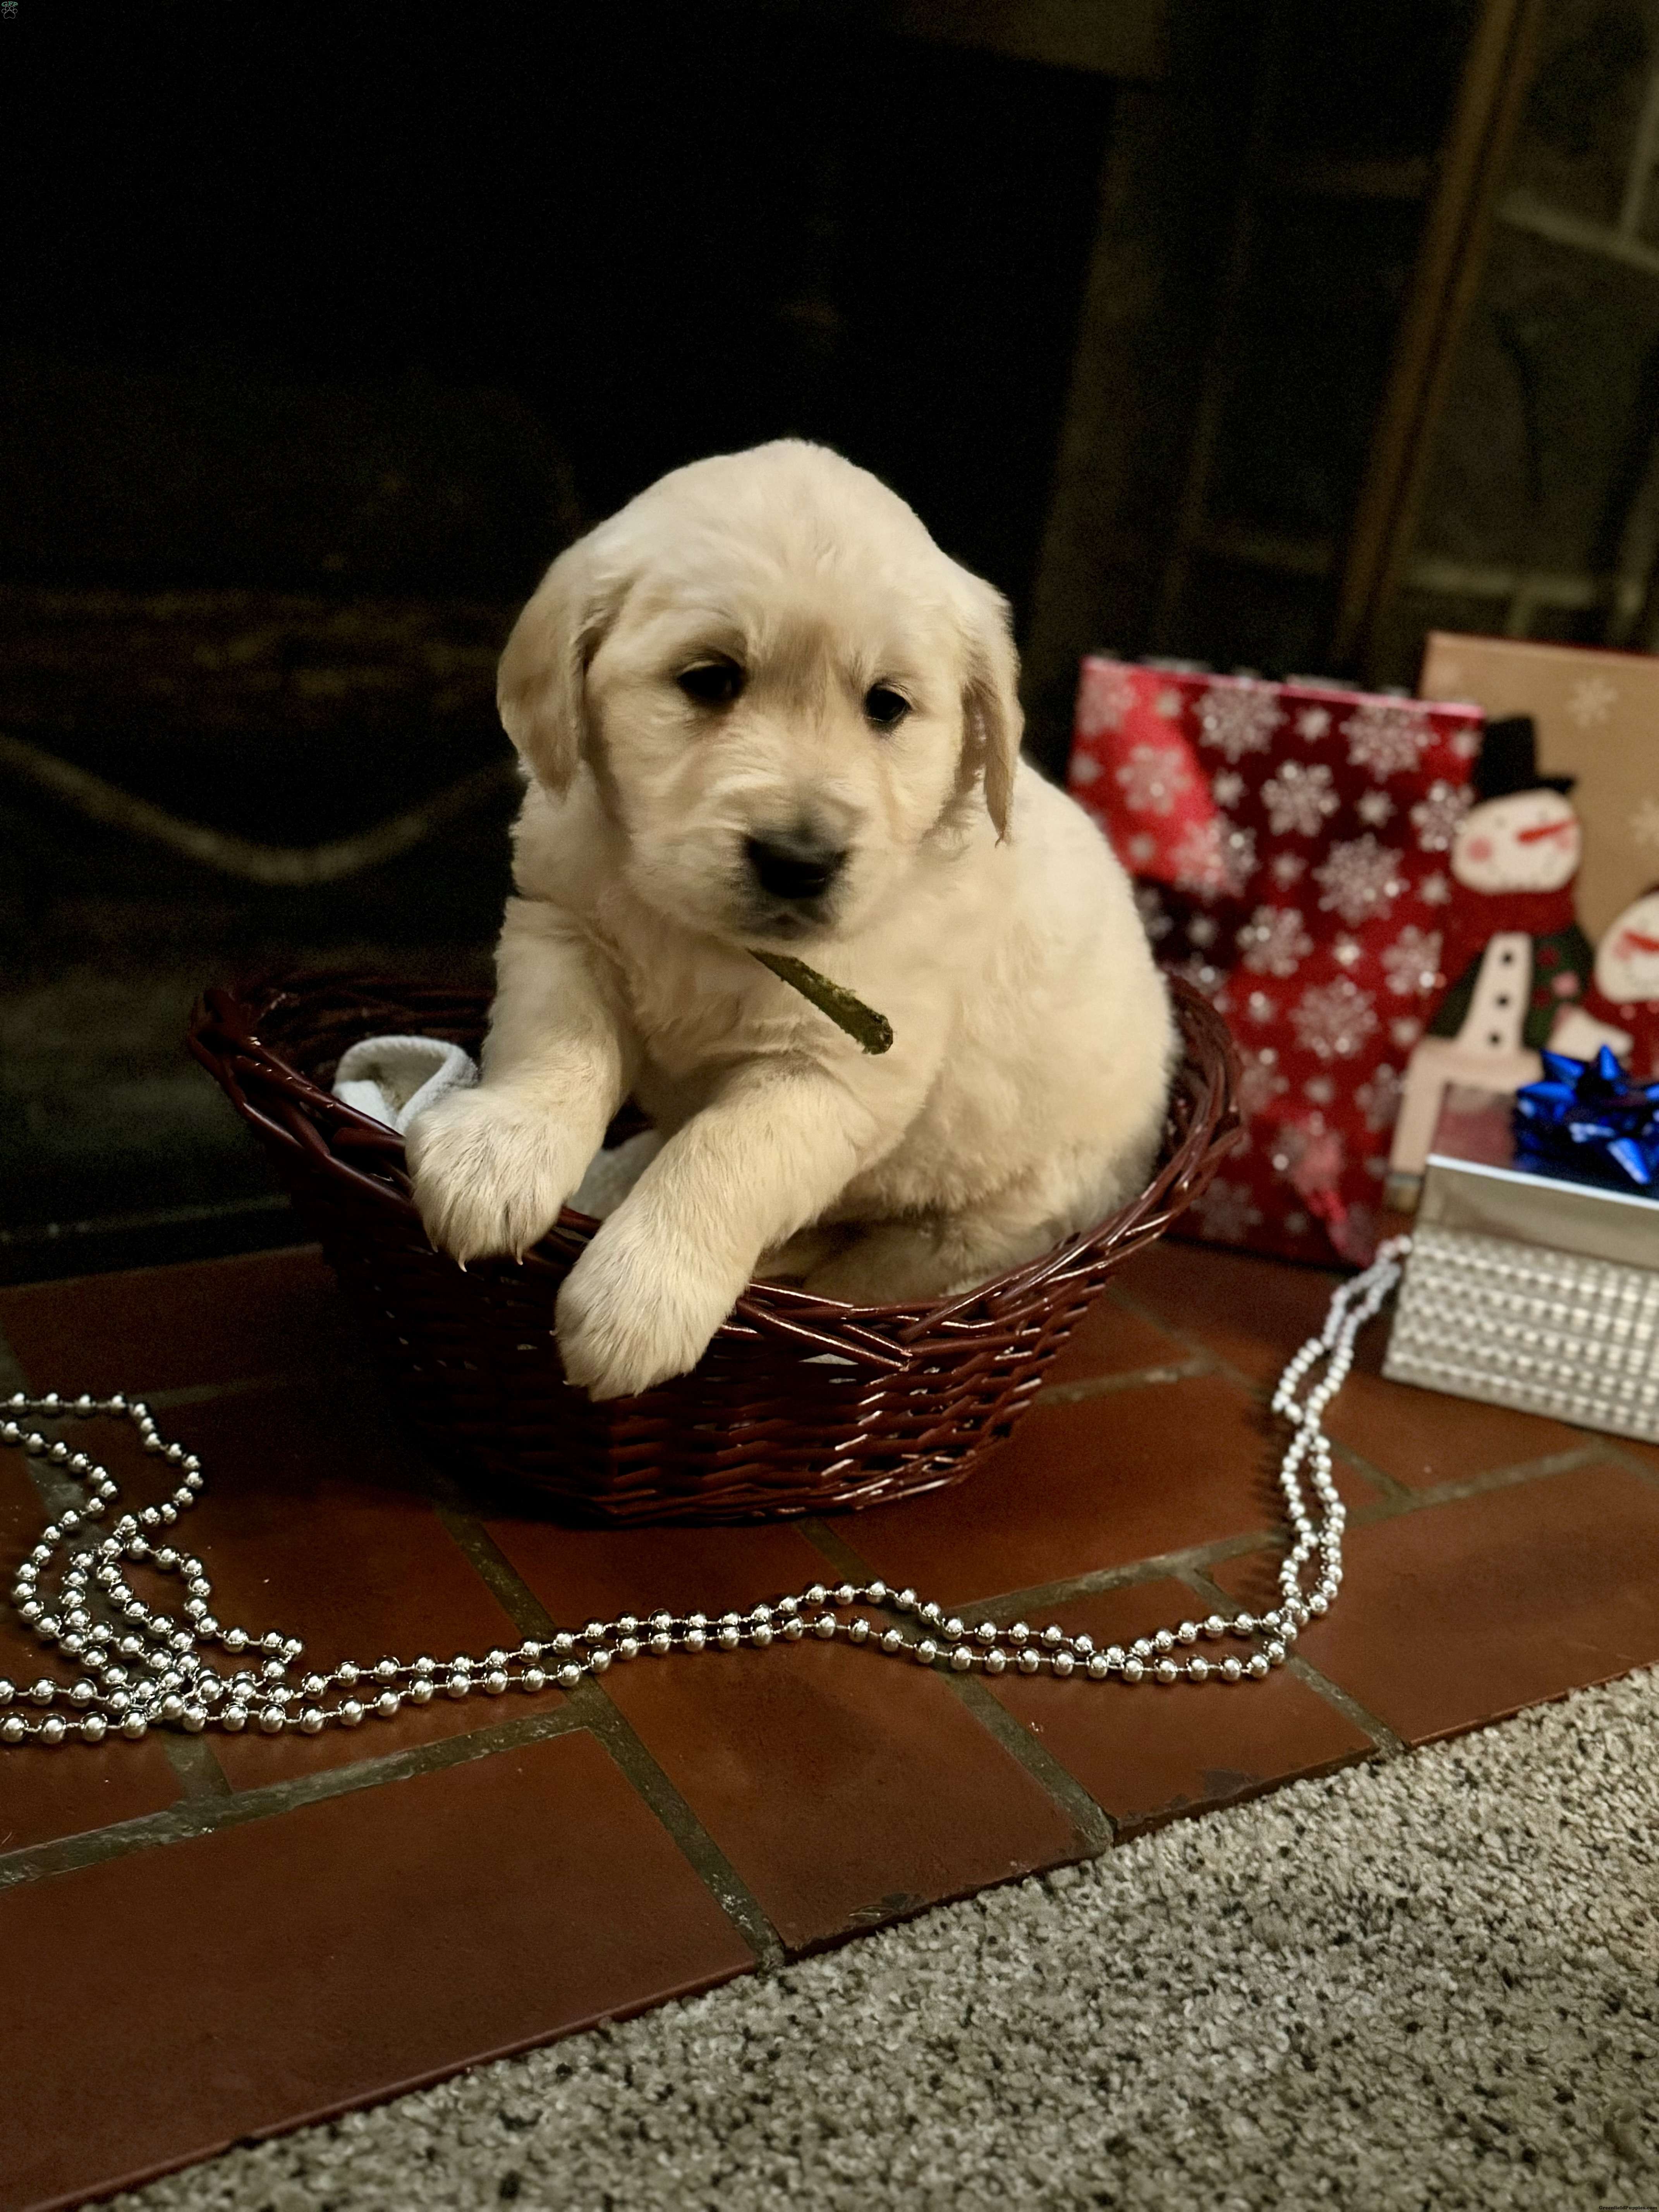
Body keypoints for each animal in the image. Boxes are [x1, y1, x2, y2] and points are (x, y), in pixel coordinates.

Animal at [407, 441, 1175, 1399]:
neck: (712, 940)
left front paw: (637, 1300)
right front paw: (497, 1156)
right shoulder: (562, 926)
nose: (800, 860)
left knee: (863, 1265)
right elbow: (557, 1046)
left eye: (887, 705)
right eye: (710, 680)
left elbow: (725, 1156)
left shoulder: (835, 1071)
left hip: (982, 1230)